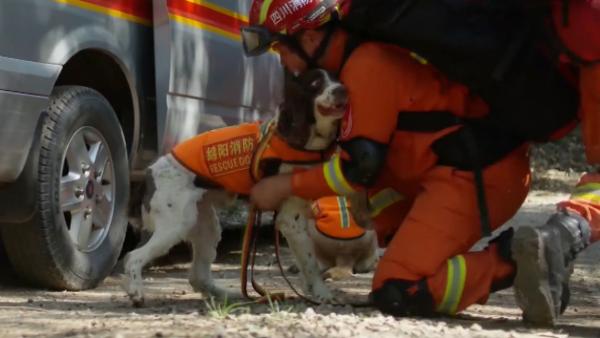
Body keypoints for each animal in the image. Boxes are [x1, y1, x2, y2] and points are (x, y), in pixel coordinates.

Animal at [122, 69, 370, 306]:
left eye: (338, 79)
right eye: (316, 83)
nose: (342, 90)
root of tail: (150, 172)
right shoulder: (290, 219)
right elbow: (310, 264)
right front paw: (323, 294)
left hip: (205, 225)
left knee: (197, 276)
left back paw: (229, 296)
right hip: (175, 224)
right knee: (133, 257)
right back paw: (136, 293)